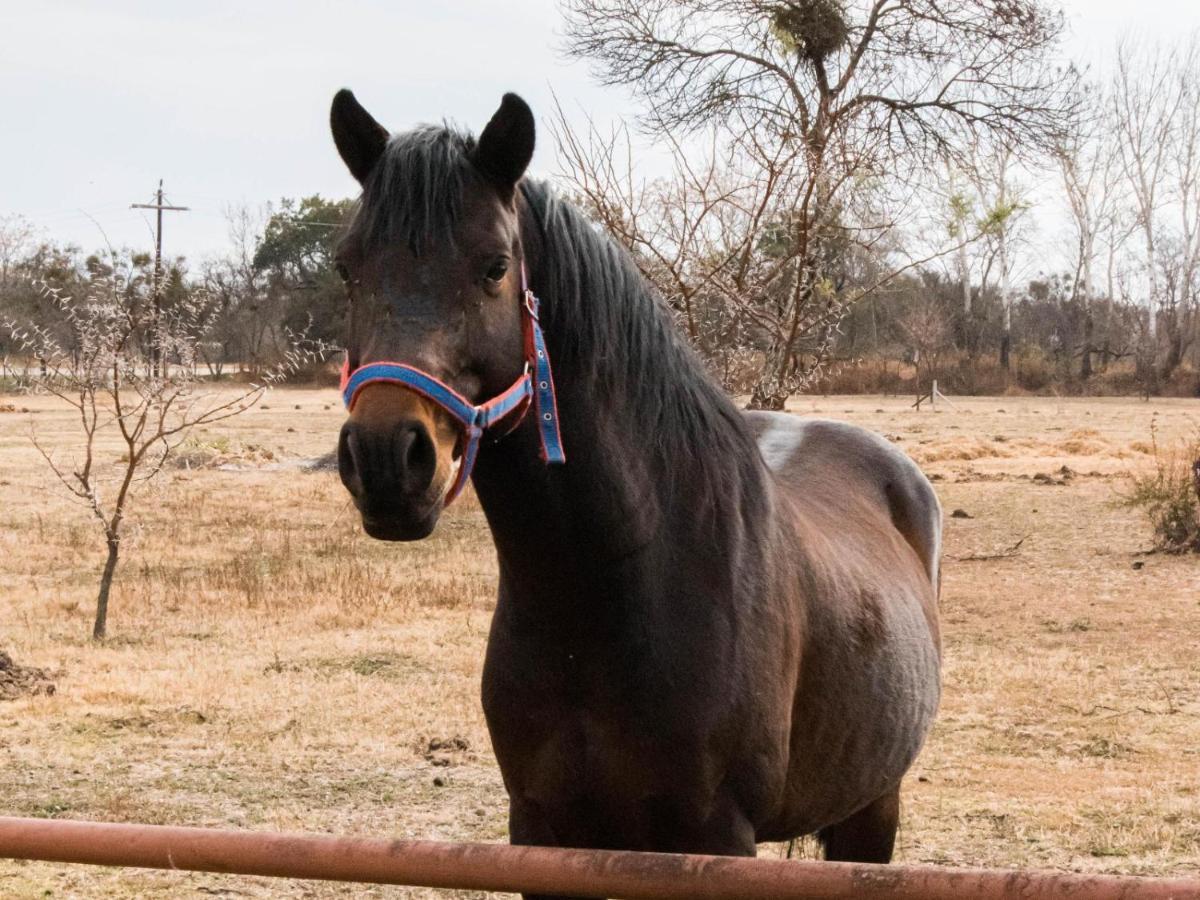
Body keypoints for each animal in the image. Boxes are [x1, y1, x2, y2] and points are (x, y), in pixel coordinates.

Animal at [331, 90, 945, 897]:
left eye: (495, 266)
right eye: (347, 269)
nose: (385, 460)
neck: (609, 589)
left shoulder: (715, 840)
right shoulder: (542, 832)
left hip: (872, 811)